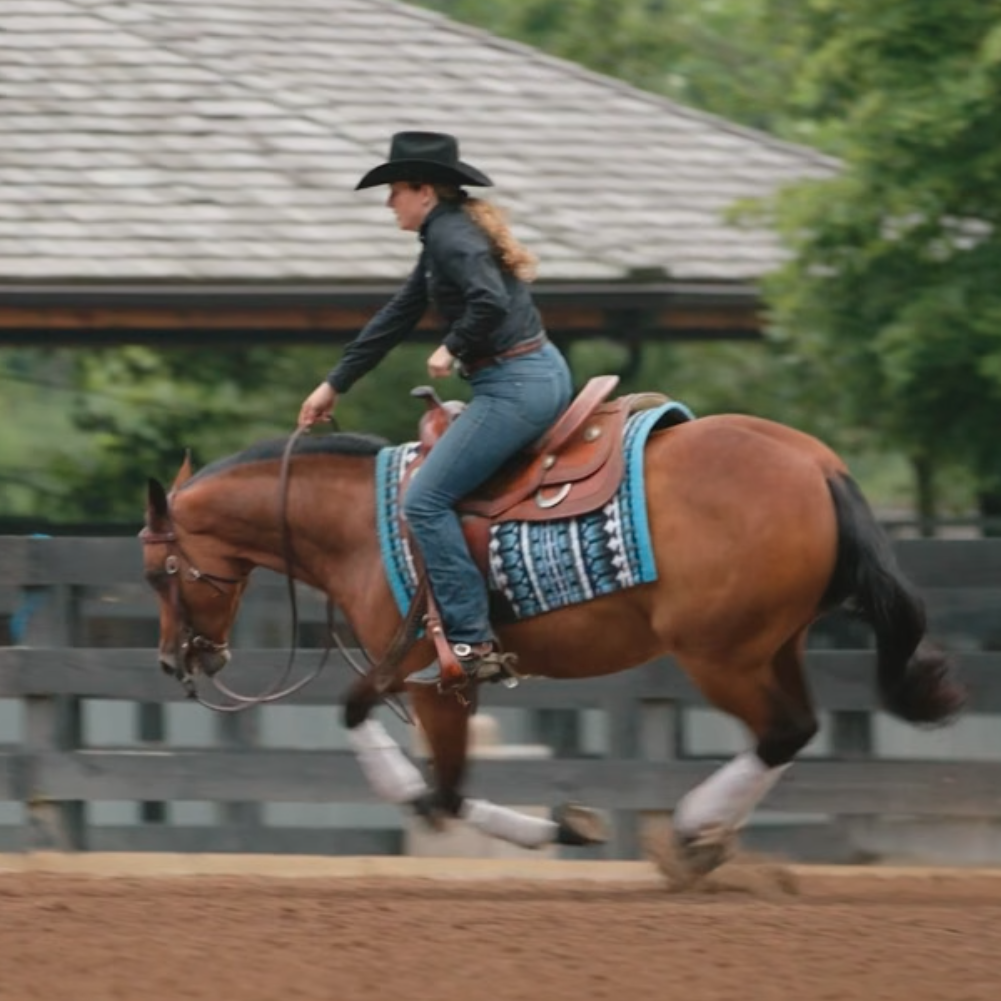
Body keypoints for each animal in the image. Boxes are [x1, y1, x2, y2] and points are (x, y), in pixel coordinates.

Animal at [141, 395, 966, 883]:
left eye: (157, 572)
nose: (174, 660)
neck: (362, 525)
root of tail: (817, 466)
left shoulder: (433, 678)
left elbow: (431, 785)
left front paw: (560, 828)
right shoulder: (418, 679)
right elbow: (428, 779)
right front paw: (566, 827)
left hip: (718, 654)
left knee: (783, 729)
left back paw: (689, 832)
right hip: (774, 643)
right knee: (793, 730)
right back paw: (704, 840)